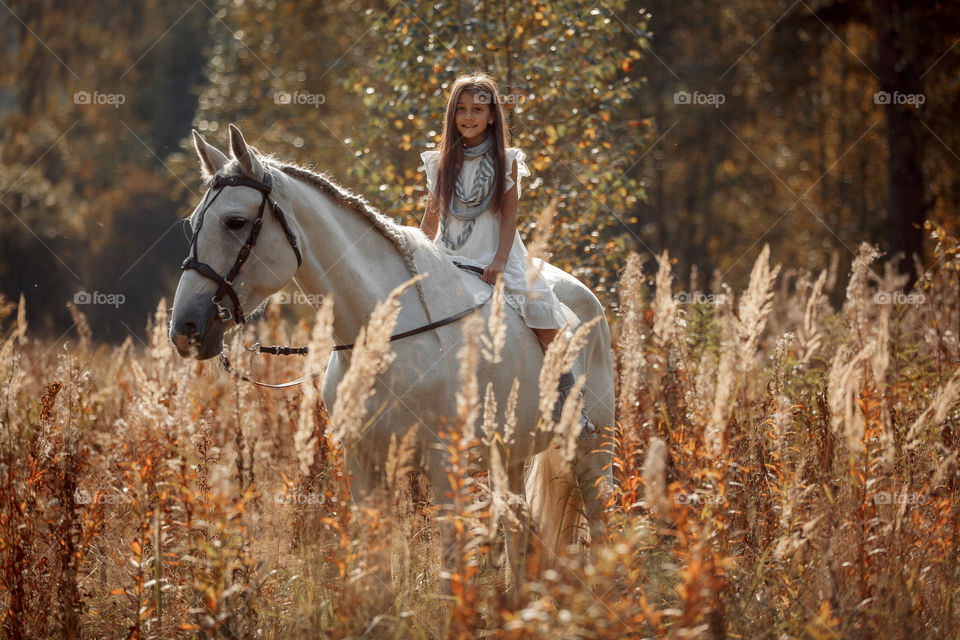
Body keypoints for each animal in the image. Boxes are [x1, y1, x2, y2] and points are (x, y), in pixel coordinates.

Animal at [168, 124, 612, 592]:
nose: (186, 329)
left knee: (601, 523)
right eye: (194, 224)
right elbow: (377, 571)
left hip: (593, 450)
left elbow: (451, 572)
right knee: (518, 531)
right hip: (508, 455)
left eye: (235, 221)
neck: (386, 337)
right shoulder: (365, 467)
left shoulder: (445, 466)